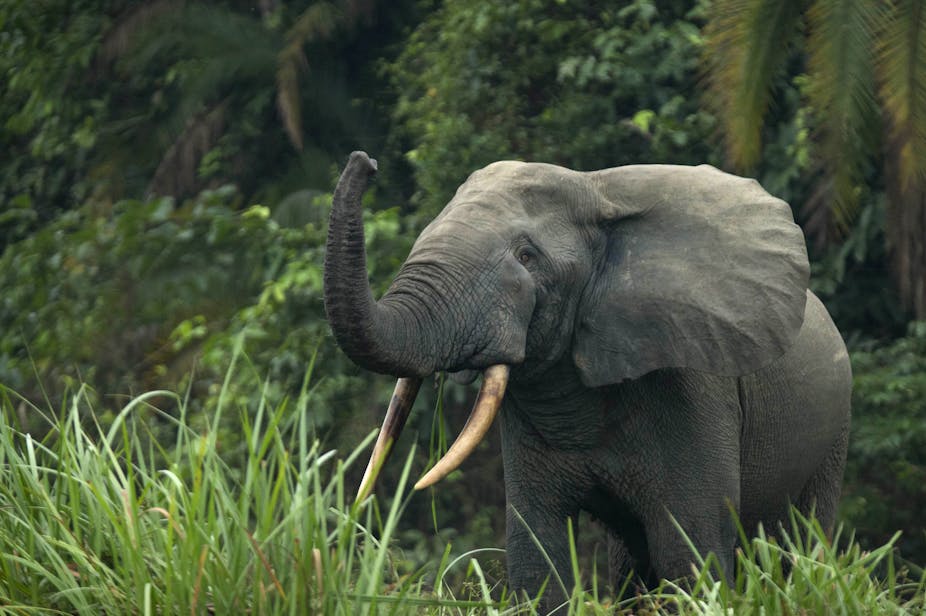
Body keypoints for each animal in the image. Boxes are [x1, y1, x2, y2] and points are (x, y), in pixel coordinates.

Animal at [322, 151, 851, 610]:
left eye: (527, 256)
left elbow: (689, 550)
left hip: (833, 436)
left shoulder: (693, 387)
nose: (365, 162)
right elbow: (537, 552)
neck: (597, 192)